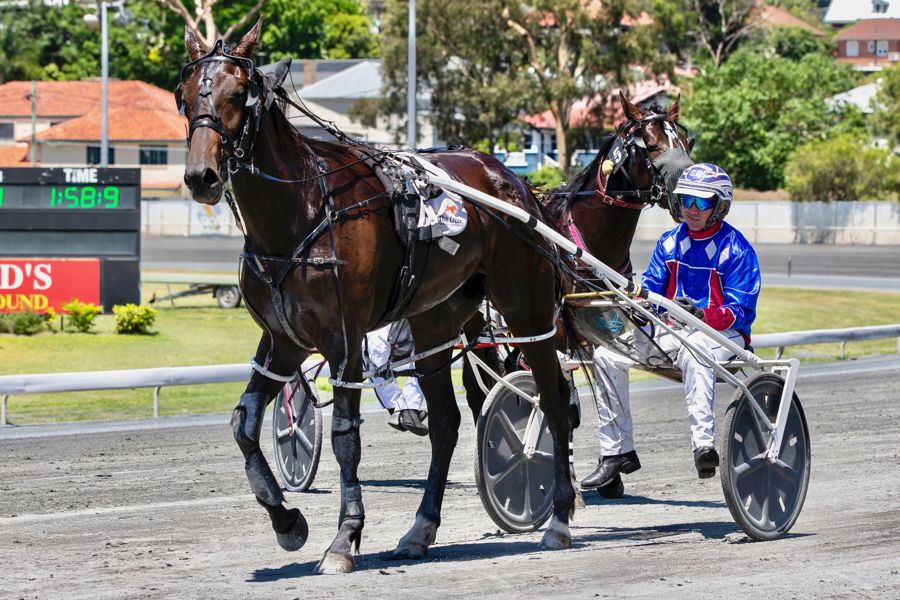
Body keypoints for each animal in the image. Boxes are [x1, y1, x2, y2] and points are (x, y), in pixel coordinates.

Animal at [177, 20, 579, 573]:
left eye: (237, 95)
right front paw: (287, 521)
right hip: (435, 321)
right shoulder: (283, 341)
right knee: (447, 424)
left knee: (554, 400)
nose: (202, 177)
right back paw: (420, 530)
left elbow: (346, 437)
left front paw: (343, 539)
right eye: (185, 95)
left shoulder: (343, 338)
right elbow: (243, 424)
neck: (303, 211)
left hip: (527, 308)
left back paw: (558, 518)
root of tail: (515, 183)